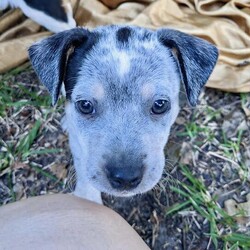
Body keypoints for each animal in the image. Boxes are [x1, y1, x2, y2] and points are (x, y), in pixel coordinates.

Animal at [28, 25, 218, 203]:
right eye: (85, 105)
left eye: (160, 104)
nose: (125, 178)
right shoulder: (78, 142)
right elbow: (82, 163)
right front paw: (88, 197)